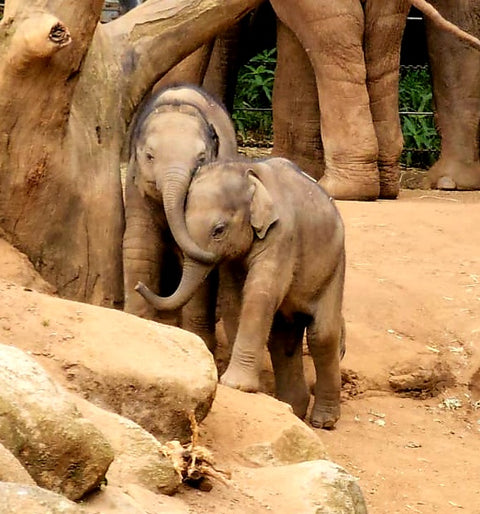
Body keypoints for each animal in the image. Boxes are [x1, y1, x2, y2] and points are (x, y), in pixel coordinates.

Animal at [124, 84, 236, 344]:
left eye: (202, 158)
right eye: (149, 156)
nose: (139, 287)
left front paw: (199, 340)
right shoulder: (135, 184)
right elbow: (139, 244)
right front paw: (136, 320)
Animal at [135, 157, 344, 428]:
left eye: (219, 230)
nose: (139, 285)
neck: (247, 171)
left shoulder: (282, 235)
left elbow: (260, 294)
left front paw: (235, 385)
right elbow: (234, 299)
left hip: (335, 265)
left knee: (322, 335)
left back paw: (323, 422)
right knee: (284, 337)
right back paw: (293, 408)